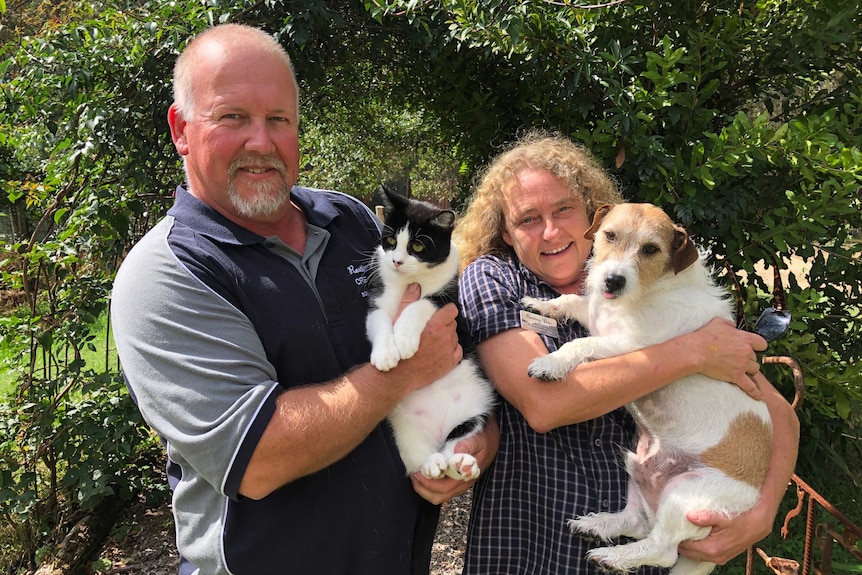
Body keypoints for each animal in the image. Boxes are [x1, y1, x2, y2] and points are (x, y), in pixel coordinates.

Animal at [368, 188, 496, 482]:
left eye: (417, 247)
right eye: (390, 240)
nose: (396, 261)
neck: (410, 282)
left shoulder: (449, 301)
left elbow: (420, 304)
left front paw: (404, 341)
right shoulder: (376, 302)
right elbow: (380, 321)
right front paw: (386, 354)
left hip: (475, 410)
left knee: (458, 438)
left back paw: (461, 464)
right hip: (404, 432)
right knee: (419, 459)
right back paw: (433, 464)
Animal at [524, 204, 772, 575]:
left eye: (651, 249)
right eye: (609, 235)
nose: (612, 280)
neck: (650, 289)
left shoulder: (630, 348)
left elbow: (580, 344)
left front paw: (551, 363)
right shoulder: (596, 316)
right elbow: (569, 299)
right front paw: (537, 302)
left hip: (684, 493)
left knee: (662, 548)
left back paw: (612, 557)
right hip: (637, 465)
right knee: (638, 522)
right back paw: (598, 526)